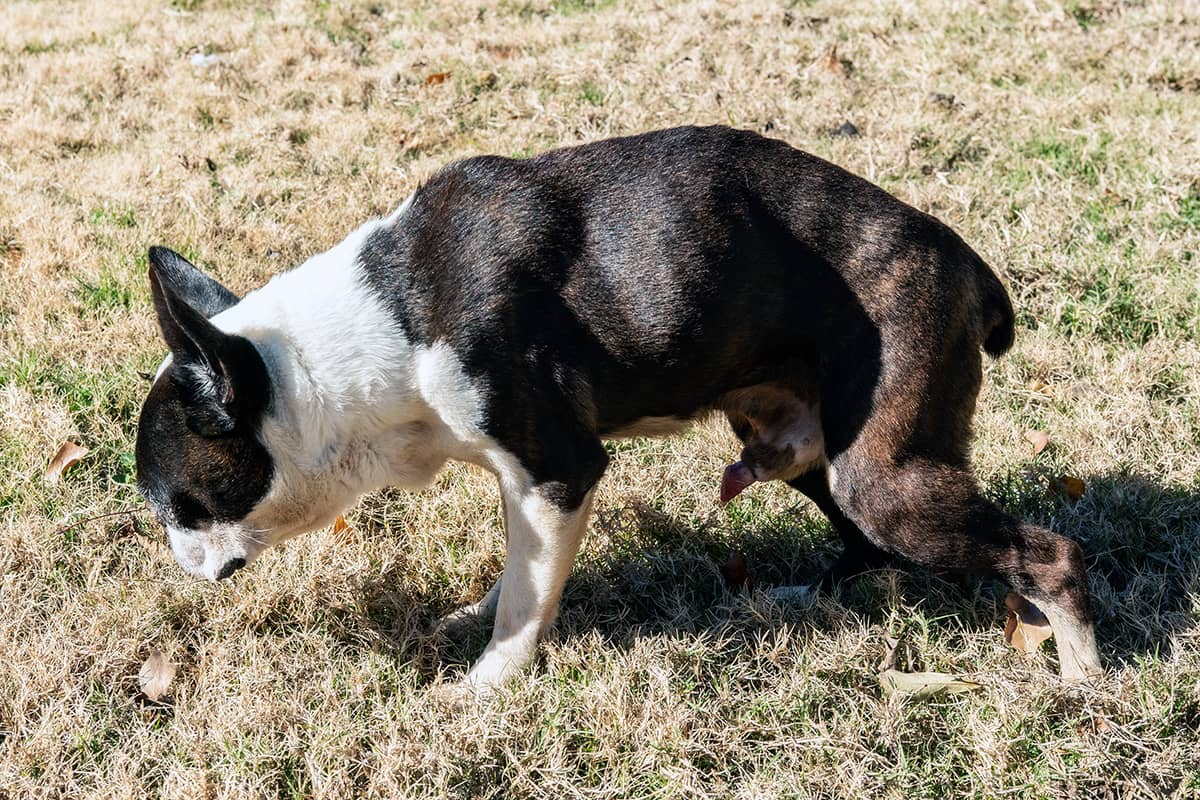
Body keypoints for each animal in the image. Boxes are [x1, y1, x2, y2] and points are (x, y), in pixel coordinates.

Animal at [136, 125, 1099, 690]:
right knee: (860, 541)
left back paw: (1082, 674)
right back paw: (799, 597)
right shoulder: (521, 480)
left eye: (179, 506)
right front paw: (475, 620)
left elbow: (529, 600)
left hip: (884, 471)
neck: (382, 326)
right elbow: (517, 573)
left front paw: (488, 686)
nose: (174, 556)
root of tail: (963, 259)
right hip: (807, 444)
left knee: (1044, 552)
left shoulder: (558, 470)